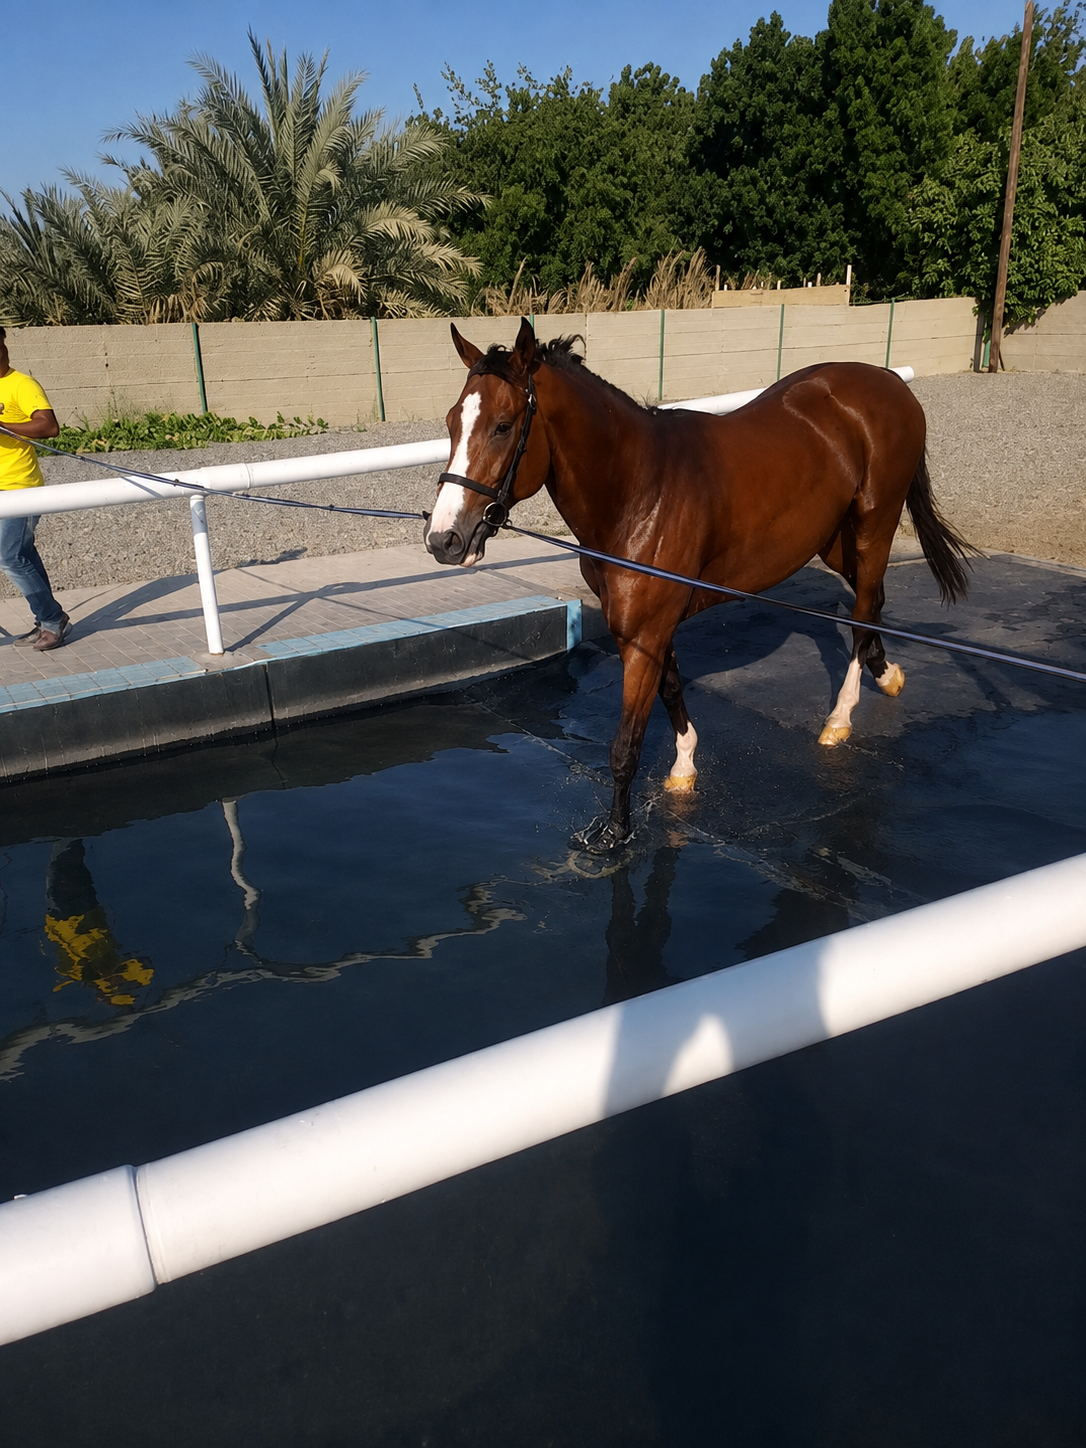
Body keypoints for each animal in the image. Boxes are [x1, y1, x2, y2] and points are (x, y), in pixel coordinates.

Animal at [424, 318, 972, 854]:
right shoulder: (651, 626)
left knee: (862, 611)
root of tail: (888, 381)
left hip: (874, 524)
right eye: (451, 422)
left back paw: (840, 718)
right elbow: (670, 689)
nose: (444, 539)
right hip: (835, 539)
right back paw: (887, 673)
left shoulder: (643, 632)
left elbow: (626, 744)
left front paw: (614, 835)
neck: (639, 490)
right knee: (871, 600)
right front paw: (684, 768)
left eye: (503, 426)